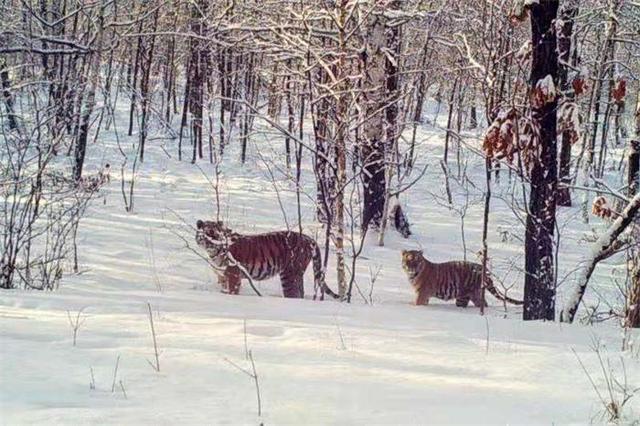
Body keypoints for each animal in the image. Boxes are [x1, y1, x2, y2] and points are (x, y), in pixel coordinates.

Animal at [195, 220, 340, 300]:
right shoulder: (223, 276)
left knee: (294, 294)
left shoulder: (233, 275)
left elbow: (232, 292)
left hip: (289, 274)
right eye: (207, 233)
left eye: (216, 234)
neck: (214, 253)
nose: (211, 243)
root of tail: (308, 238)